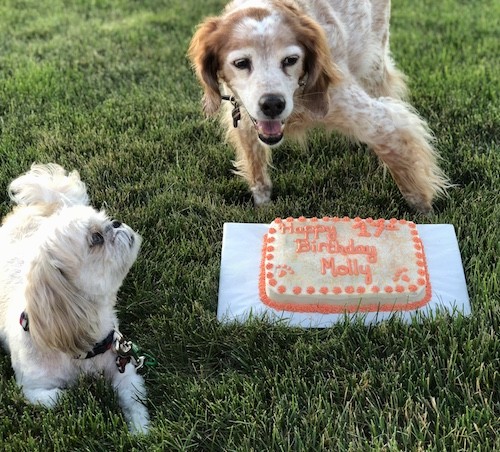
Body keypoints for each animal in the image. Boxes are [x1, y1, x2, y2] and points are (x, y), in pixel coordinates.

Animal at [0, 163, 148, 434]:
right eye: (96, 238)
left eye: (106, 220)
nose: (116, 222)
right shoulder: (33, 390)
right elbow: (63, 397)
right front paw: (85, 395)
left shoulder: (122, 367)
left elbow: (134, 399)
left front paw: (141, 432)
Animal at [189, 0, 452, 213]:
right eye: (241, 63)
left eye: (291, 60)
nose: (272, 104)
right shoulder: (243, 116)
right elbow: (257, 172)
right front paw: (263, 207)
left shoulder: (376, 118)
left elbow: (408, 170)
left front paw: (426, 216)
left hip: (373, 61)